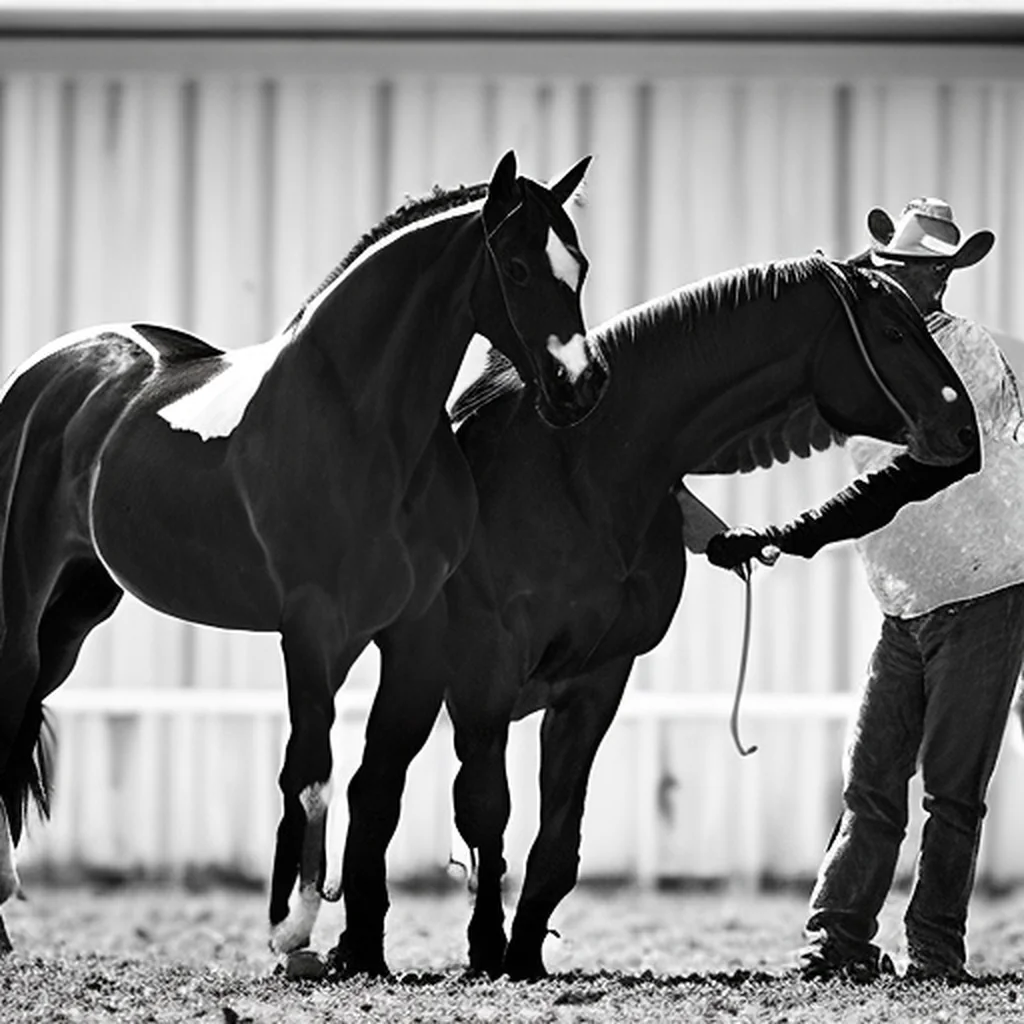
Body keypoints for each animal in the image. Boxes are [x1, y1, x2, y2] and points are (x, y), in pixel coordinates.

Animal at [0, 150, 609, 957]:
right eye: (514, 266)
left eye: (578, 266)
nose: (581, 386)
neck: (365, 423)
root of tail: (43, 376)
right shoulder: (312, 627)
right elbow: (312, 769)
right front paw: (292, 928)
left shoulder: (415, 632)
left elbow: (378, 777)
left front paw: (350, 942)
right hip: (22, 598)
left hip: (78, 607)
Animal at [334, 252, 980, 979]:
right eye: (895, 332)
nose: (964, 430)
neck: (579, 476)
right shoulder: (486, 673)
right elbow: (484, 808)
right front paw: (485, 949)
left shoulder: (598, 679)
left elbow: (558, 834)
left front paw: (523, 955)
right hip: (414, 675)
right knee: (373, 787)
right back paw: (357, 948)